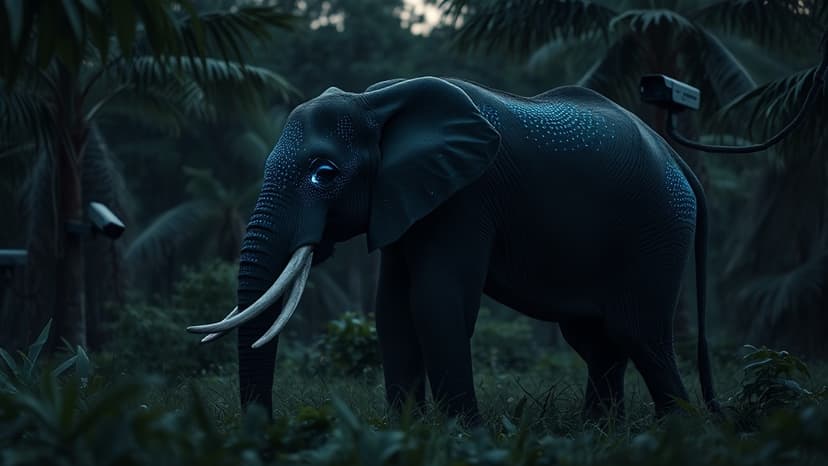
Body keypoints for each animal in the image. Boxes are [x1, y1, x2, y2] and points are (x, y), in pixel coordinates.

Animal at [188, 76, 719, 422]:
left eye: (324, 174)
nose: (263, 430)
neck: (374, 102)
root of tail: (678, 160)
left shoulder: (467, 196)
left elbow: (436, 302)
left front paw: (461, 434)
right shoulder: (408, 198)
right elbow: (392, 309)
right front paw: (407, 430)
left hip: (657, 228)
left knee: (638, 333)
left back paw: (678, 430)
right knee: (596, 340)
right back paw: (600, 431)